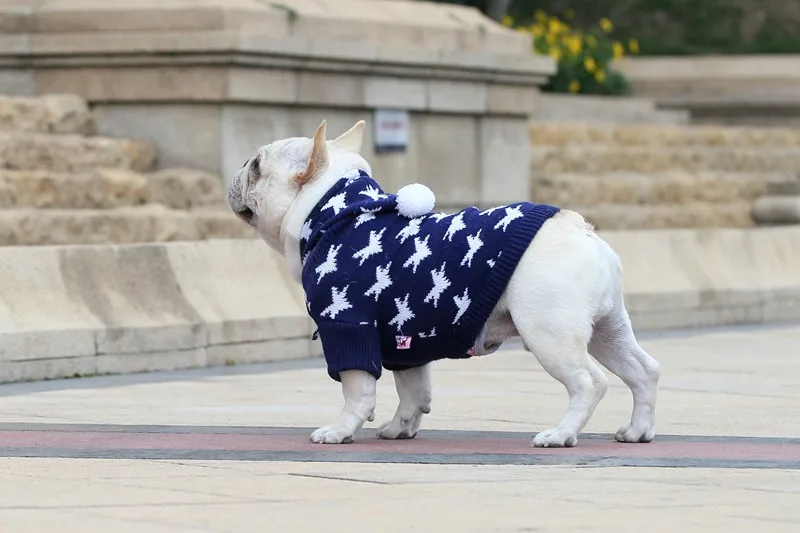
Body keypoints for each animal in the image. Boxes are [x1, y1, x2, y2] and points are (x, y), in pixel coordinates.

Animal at [227, 119, 664, 444]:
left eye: (257, 166)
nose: (240, 164)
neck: (333, 212)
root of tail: (580, 229)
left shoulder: (348, 325)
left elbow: (357, 390)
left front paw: (339, 430)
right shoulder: (402, 337)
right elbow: (413, 390)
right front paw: (400, 428)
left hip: (549, 331)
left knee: (590, 382)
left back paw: (560, 434)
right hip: (608, 328)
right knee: (643, 370)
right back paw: (637, 431)